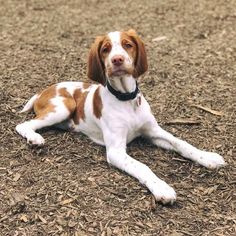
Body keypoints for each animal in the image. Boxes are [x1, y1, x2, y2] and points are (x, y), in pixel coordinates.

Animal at [15, 29, 226, 203]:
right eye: (105, 49)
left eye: (128, 45)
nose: (117, 60)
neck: (126, 100)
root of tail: (43, 91)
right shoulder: (116, 151)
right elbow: (142, 166)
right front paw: (161, 188)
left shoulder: (152, 131)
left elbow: (181, 143)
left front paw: (207, 157)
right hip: (65, 106)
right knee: (23, 125)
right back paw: (35, 138)